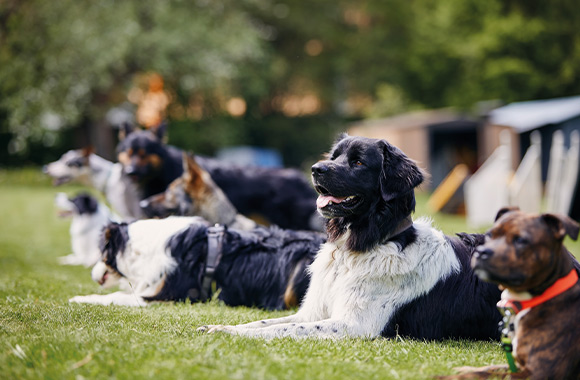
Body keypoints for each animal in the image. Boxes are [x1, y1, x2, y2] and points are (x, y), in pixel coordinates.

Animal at [201, 134, 502, 342]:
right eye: (334, 157)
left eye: (358, 162)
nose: (315, 169)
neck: (355, 249)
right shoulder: (312, 312)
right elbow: (266, 323)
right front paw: (222, 326)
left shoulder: (355, 325)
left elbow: (286, 328)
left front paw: (229, 333)